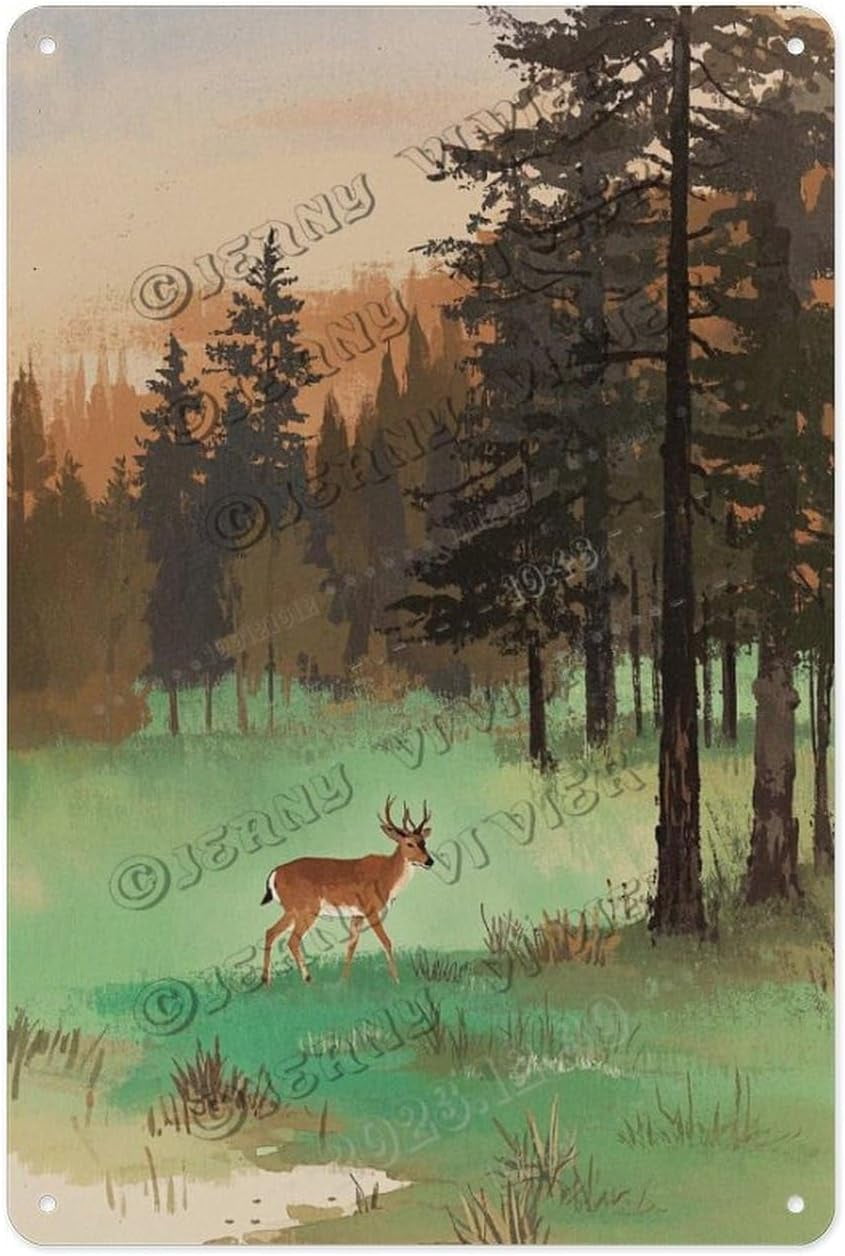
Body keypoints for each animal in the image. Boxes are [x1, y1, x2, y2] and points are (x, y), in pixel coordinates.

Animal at [260, 798, 433, 985]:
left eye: (424, 842)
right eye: (409, 843)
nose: (429, 861)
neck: (387, 877)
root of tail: (275, 873)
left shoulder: (357, 915)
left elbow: (351, 946)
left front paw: (343, 982)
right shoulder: (370, 909)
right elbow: (386, 942)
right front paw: (397, 980)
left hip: (292, 909)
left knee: (270, 932)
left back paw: (266, 980)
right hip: (306, 908)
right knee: (292, 940)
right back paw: (307, 979)